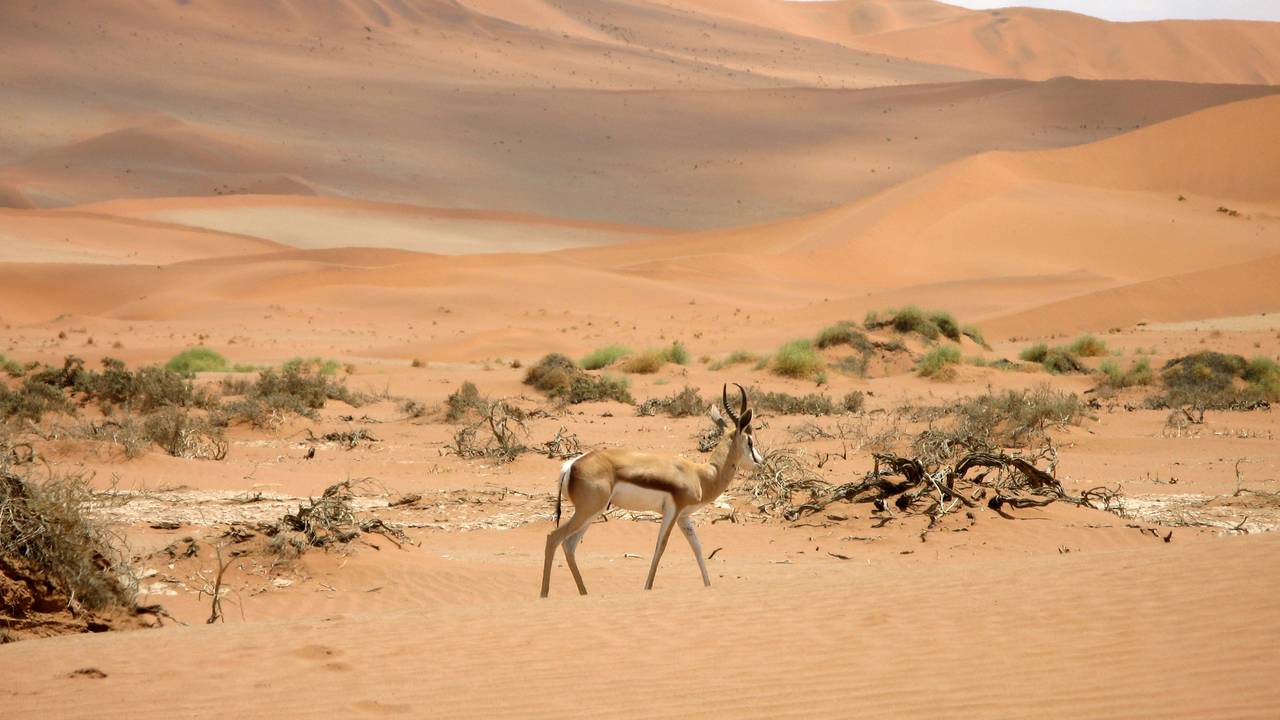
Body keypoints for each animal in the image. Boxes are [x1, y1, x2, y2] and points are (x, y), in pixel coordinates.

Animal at [540, 384, 762, 597]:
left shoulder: (683, 517)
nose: (760, 461)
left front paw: (708, 586)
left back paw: (584, 593)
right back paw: (545, 594)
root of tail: (572, 465)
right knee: (553, 538)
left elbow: (697, 548)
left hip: (592, 513)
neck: (701, 475)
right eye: (750, 441)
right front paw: (647, 587)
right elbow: (660, 547)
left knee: (569, 545)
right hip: (587, 511)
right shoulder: (672, 511)